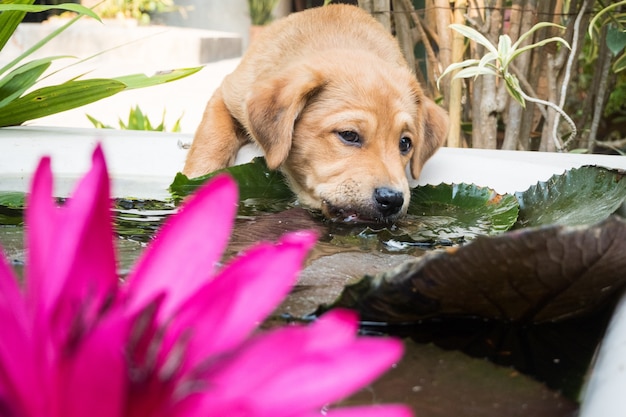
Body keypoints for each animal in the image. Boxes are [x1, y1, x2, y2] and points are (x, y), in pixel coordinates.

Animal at [183, 3, 446, 223]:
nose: (392, 200)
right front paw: (197, 183)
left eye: (405, 143)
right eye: (349, 135)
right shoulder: (227, 94)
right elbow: (211, 142)